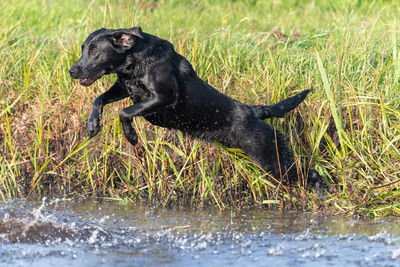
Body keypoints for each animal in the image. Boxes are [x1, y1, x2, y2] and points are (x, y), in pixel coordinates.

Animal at [70, 27, 322, 186]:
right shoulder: (124, 87)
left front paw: (131, 136)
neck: (135, 60)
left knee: (311, 174)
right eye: (83, 48)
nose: (72, 70)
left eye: (94, 51)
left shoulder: (164, 97)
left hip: (272, 161)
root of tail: (254, 111)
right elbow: (100, 99)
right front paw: (92, 124)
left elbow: (124, 112)